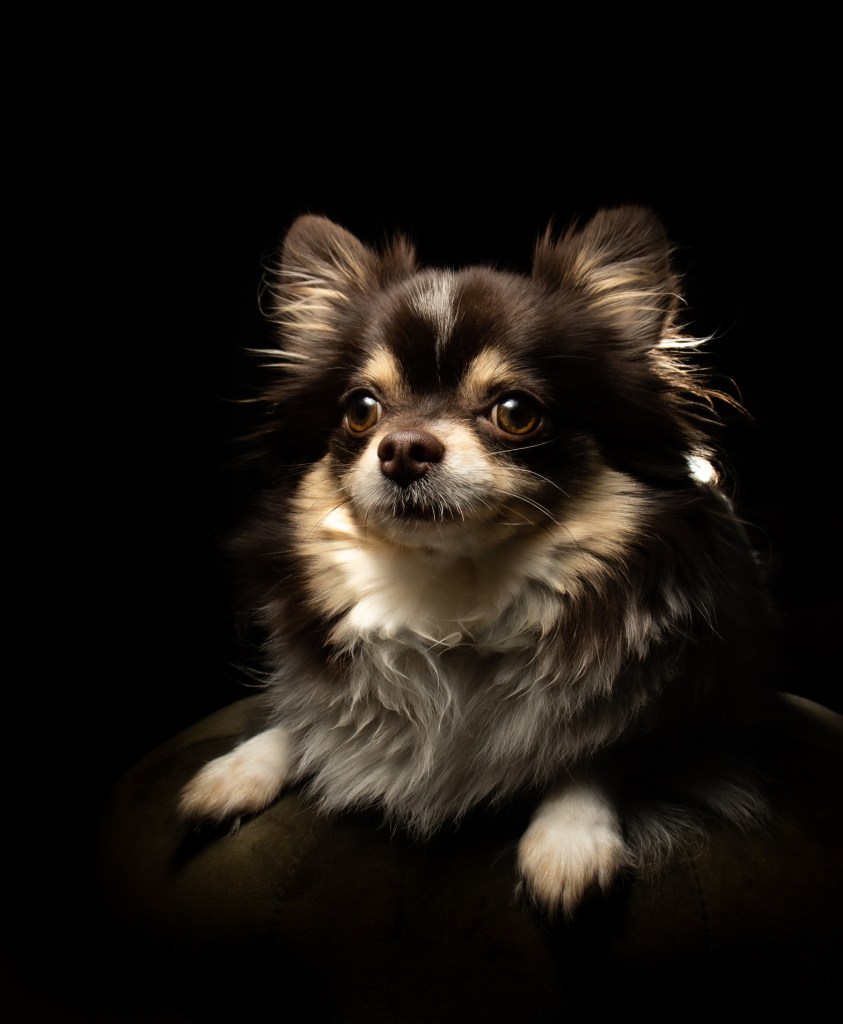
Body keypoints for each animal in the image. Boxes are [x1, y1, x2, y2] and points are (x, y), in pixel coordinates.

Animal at [181, 203, 782, 917]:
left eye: (515, 412)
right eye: (361, 410)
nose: (403, 448)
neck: (453, 596)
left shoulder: (693, 714)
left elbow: (600, 752)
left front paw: (568, 838)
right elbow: (309, 715)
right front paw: (241, 766)